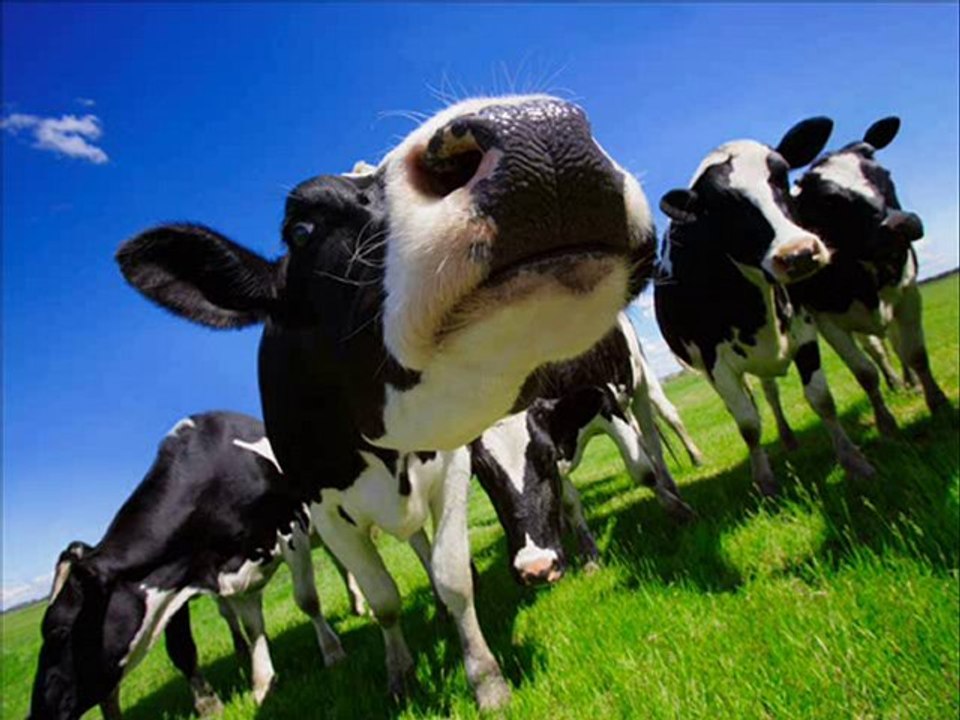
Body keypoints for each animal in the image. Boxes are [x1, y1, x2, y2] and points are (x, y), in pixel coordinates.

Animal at [29, 412, 345, 720]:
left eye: (58, 631)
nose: (38, 712)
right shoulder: (226, 576)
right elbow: (252, 628)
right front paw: (263, 683)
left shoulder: (292, 531)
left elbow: (307, 600)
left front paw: (332, 653)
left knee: (341, 565)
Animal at [115, 94, 655, 710]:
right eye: (301, 228)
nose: (537, 132)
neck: (381, 445)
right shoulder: (322, 513)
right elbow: (383, 598)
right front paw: (400, 676)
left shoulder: (453, 468)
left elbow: (451, 578)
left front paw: (486, 679)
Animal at [654, 118, 876, 496]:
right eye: (719, 208)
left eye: (782, 177)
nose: (798, 254)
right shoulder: (716, 363)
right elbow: (748, 424)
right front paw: (765, 481)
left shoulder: (803, 329)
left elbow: (821, 398)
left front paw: (853, 461)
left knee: (770, 391)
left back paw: (787, 438)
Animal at [779, 117, 950, 441]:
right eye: (829, 201)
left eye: (884, 174)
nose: (900, 223)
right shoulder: (826, 319)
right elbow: (865, 372)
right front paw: (886, 423)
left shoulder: (908, 293)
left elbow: (916, 353)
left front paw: (938, 402)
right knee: (877, 349)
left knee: (895, 344)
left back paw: (910, 383)